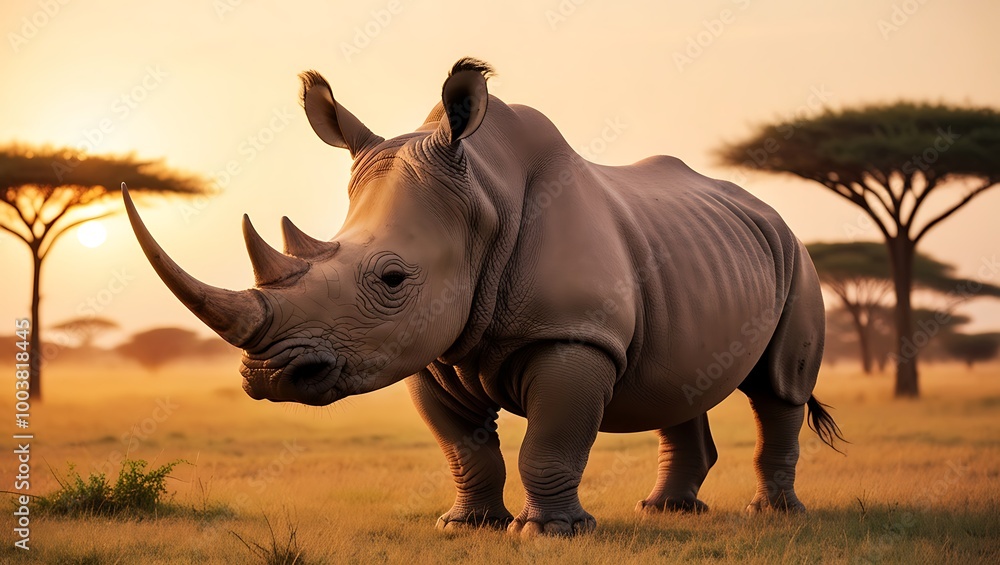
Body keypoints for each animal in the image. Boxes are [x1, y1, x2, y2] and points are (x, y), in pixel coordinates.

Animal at [122, 58, 842, 537]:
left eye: (392, 278)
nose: (271, 375)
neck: (483, 205)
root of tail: (765, 210)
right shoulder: (430, 345)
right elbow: (465, 448)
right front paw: (467, 526)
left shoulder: (573, 334)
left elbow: (550, 440)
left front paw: (550, 532)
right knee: (677, 378)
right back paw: (666, 510)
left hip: (794, 256)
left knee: (778, 386)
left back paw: (772, 515)